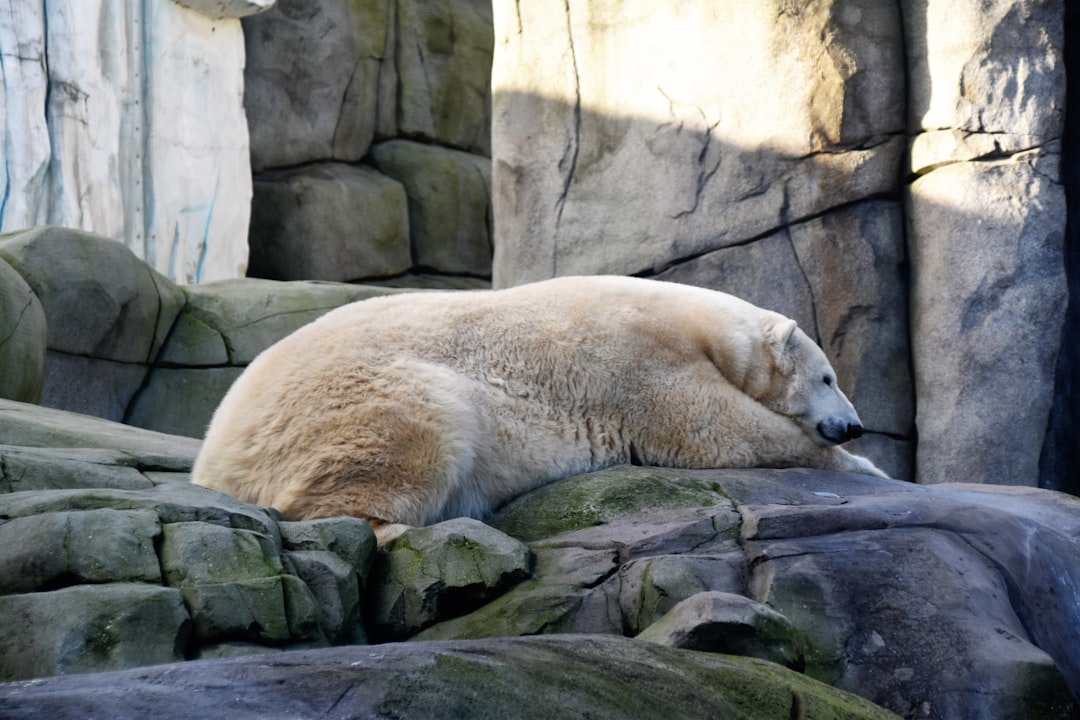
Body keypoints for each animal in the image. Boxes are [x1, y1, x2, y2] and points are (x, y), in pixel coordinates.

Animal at [194, 278, 885, 546]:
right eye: (828, 377)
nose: (854, 422)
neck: (703, 327)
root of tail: (214, 457)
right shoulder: (643, 360)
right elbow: (713, 429)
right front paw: (865, 466)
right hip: (359, 395)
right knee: (414, 428)